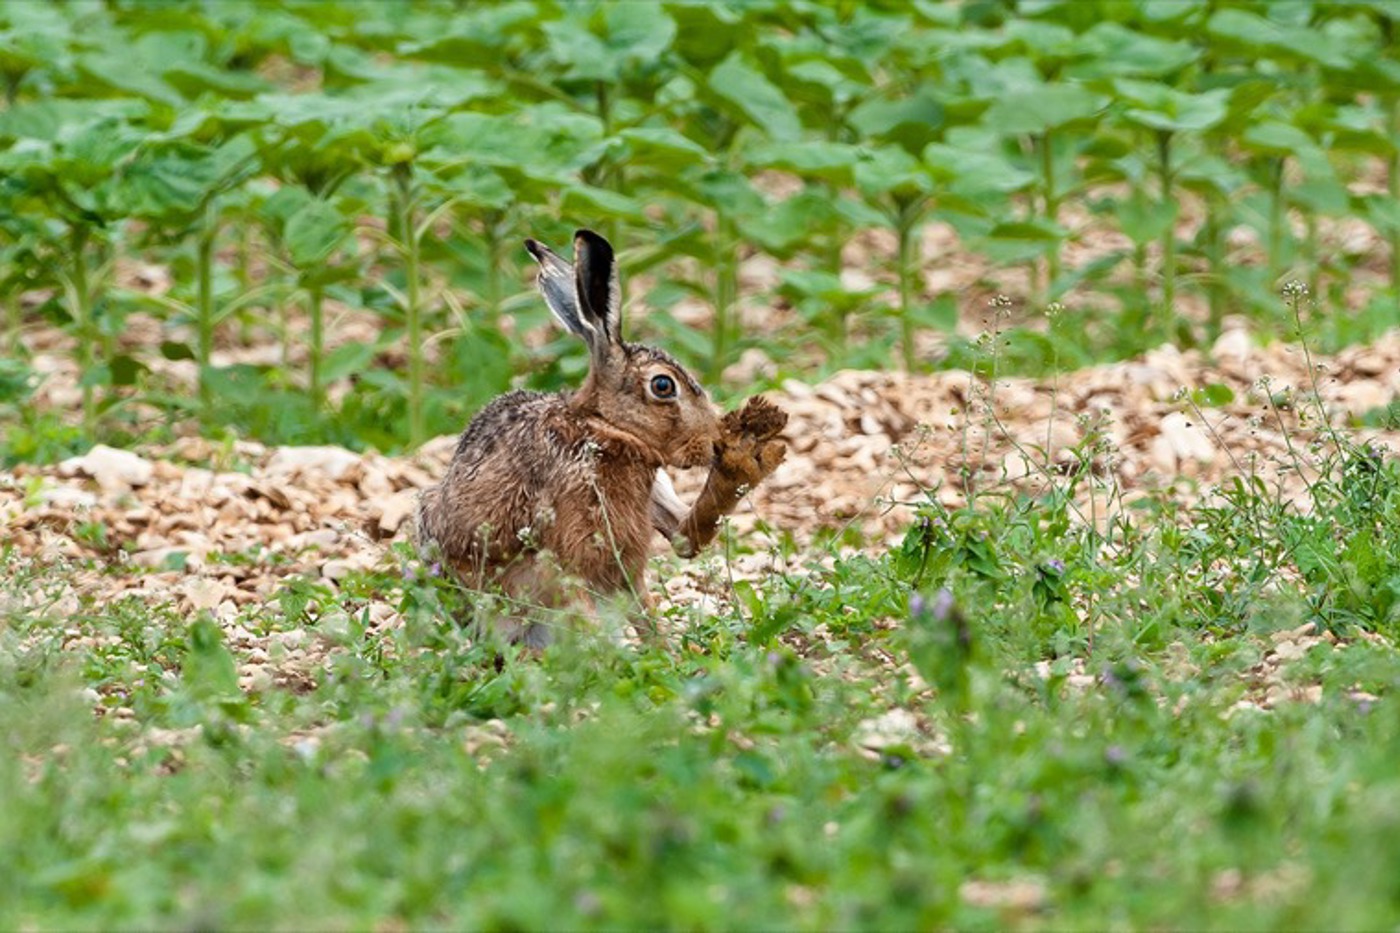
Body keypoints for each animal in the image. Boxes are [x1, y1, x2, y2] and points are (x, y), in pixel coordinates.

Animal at [415, 228, 787, 647]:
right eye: (663, 385)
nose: (712, 443)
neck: (604, 429)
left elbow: (683, 546)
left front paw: (748, 459)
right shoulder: (566, 557)